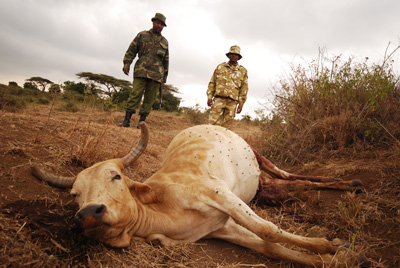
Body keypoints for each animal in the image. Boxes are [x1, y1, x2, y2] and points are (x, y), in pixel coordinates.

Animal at [31, 124, 368, 268]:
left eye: (116, 176)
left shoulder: (219, 193)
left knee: (288, 174)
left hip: (260, 160)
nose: (88, 214)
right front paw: (340, 256)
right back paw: (350, 184)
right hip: (266, 189)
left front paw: (331, 246)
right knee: (296, 183)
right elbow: (269, 247)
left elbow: (267, 230)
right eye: (75, 194)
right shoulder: (222, 227)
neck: (162, 212)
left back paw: (352, 183)